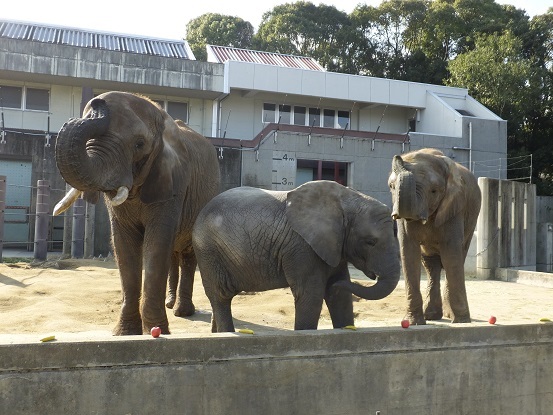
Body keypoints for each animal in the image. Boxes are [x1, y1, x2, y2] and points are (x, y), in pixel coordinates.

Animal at [53, 91, 220, 334]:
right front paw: (126, 332)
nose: (98, 103)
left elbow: (156, 243)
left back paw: (182, 311)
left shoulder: (174, 182)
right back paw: (170, 304)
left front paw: (157, 330)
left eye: (139, 144)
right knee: (173, 254)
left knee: (188, 254)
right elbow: (124, 245)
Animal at [192, 180, 398, 334]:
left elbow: (340, 297)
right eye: (370, 242)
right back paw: (227, 333)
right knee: (220, 296)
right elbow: (310, 296)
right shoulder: (302, 247)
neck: (349, 200)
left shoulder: (333, 246)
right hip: (208, 251)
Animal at [386, 148, 480, 326]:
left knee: (459, 255)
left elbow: (451, 254)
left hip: (472, 218)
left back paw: (449, 316)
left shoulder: (455, 208)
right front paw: (413, 322)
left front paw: (462, 321)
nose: (398, 157)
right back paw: (432, 316)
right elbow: (409, 252)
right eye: (392, 187)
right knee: (431, 264)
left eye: (434, 191)